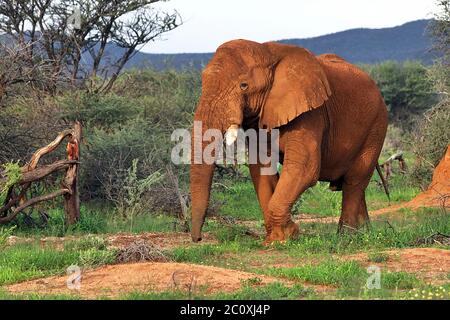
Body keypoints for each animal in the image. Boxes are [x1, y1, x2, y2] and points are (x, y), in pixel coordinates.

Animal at [189, 39, 386, 245]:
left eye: (244, 85)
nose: (198, 239)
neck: (268, 52)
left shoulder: (311, 113)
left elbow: (304, 168)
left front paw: (286, 237)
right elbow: (261, 168)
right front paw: (275, 239)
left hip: (376, 126)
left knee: (354, 181)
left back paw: (347, 237)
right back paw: (366, 233)